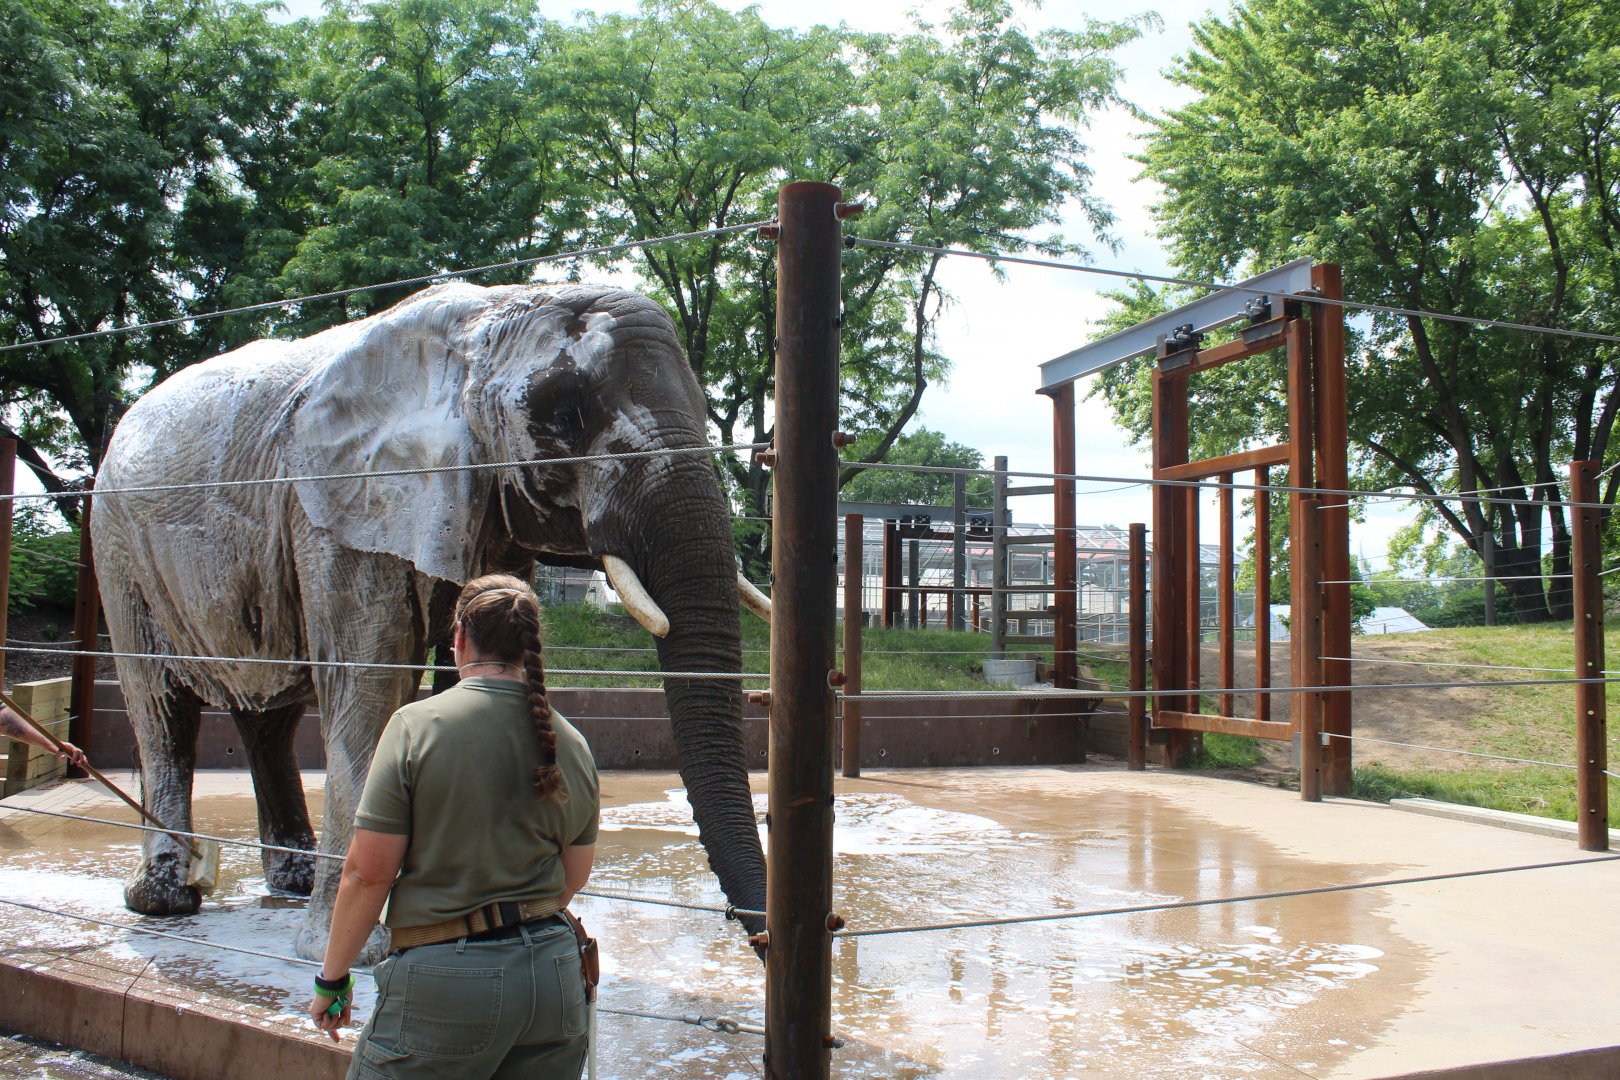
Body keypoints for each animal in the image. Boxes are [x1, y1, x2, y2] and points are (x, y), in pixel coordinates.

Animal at [91, 282, 771, 961]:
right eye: (564, 416)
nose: (762, 941)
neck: (481, 323)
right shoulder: (339, 506)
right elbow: (370, 679)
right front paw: (350, 951)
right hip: (118, 549)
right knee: (160, 709)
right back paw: (165, 899)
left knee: (268, 717)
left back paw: (293, 880)